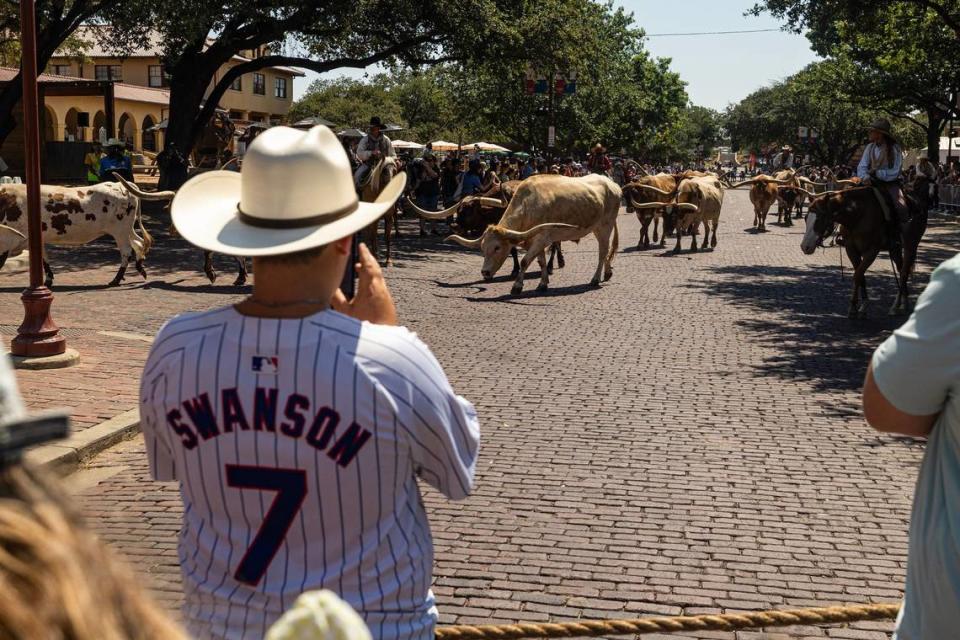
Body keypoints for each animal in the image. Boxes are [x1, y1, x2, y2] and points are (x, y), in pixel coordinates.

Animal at [804, 176, 928, 318]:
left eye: (819, 219)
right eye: (806, 218)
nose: (805, 246)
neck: (857, 214)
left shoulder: (871, 251)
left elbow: (858, 275)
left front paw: (853, 307)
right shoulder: (851, 249)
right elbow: (860, 275)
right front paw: (862, 305)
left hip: (910, 245)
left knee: (903, 273)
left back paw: (896, 306)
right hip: (895, 249)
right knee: (901, 269)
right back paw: (904, 302)